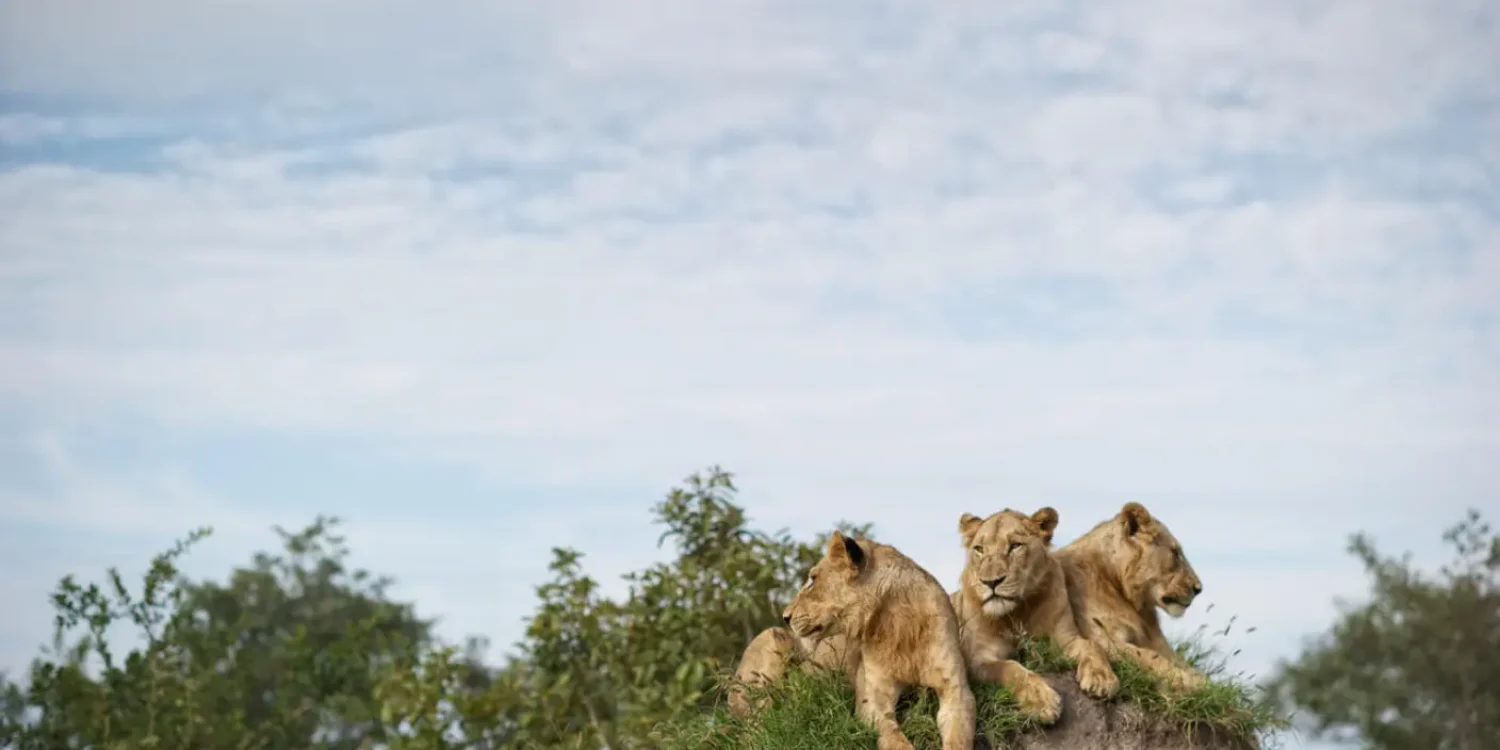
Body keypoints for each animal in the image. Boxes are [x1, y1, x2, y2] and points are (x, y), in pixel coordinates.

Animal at [781, 531, 977, 750]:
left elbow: (958, 737)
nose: (785, 617)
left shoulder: (956, 691)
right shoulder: (873, 698)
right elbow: (893, 737)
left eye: (813, 580)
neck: (897, 624)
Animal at [950, 507, 1120, 725]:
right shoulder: (976, 657)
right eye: (979, 549)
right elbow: (1010, 668)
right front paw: (1042, 702)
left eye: (1015, 546)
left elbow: (1091, 645)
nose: (990, 582)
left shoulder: (1064, 639)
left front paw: (1101, 678)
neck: (1017, 613)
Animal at [1054, 501, 1208, 691]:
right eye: (1175, 553)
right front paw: (1190, 682)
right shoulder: (1102, 637)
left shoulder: (1161, 645)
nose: (1198, 589)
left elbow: (1187, 666)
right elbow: (1148, 656)